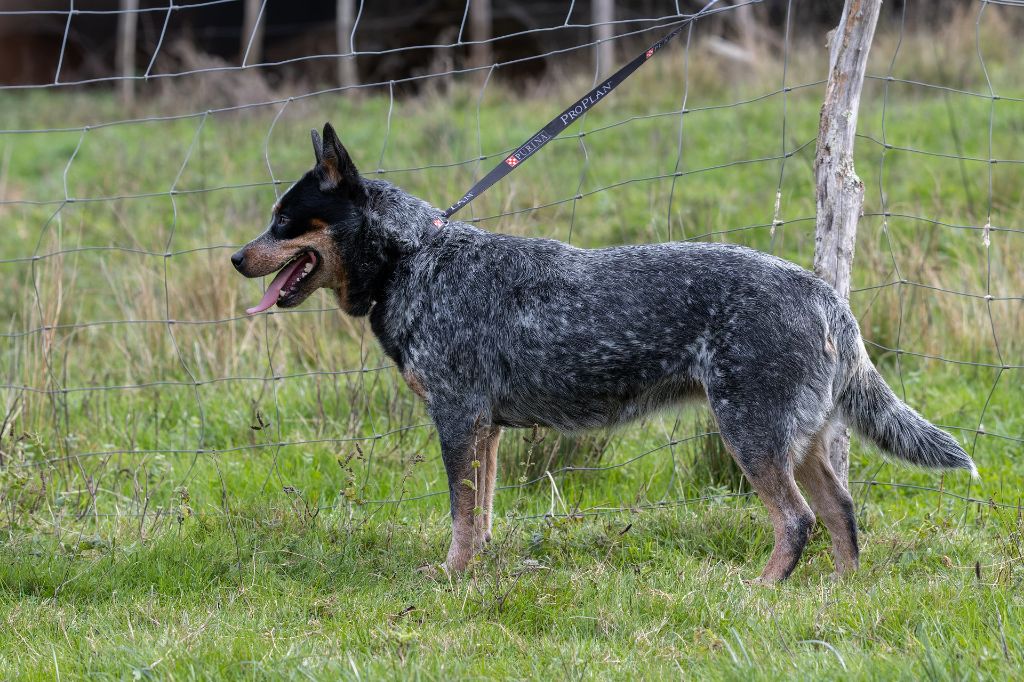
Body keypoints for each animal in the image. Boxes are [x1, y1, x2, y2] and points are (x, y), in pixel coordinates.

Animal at [230, 123, 974, 577]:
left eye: (284, 220)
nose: (236, 258)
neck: (415, 257)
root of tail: (824, 295)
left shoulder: (457, 418)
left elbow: (461, 515)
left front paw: (449, 576)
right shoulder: (486, 429)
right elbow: (484, 514)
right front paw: (475, 575)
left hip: (750, 433)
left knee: (797, 521)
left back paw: (758, 592)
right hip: (805, 436)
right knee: (841, 515)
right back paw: (835, 595)